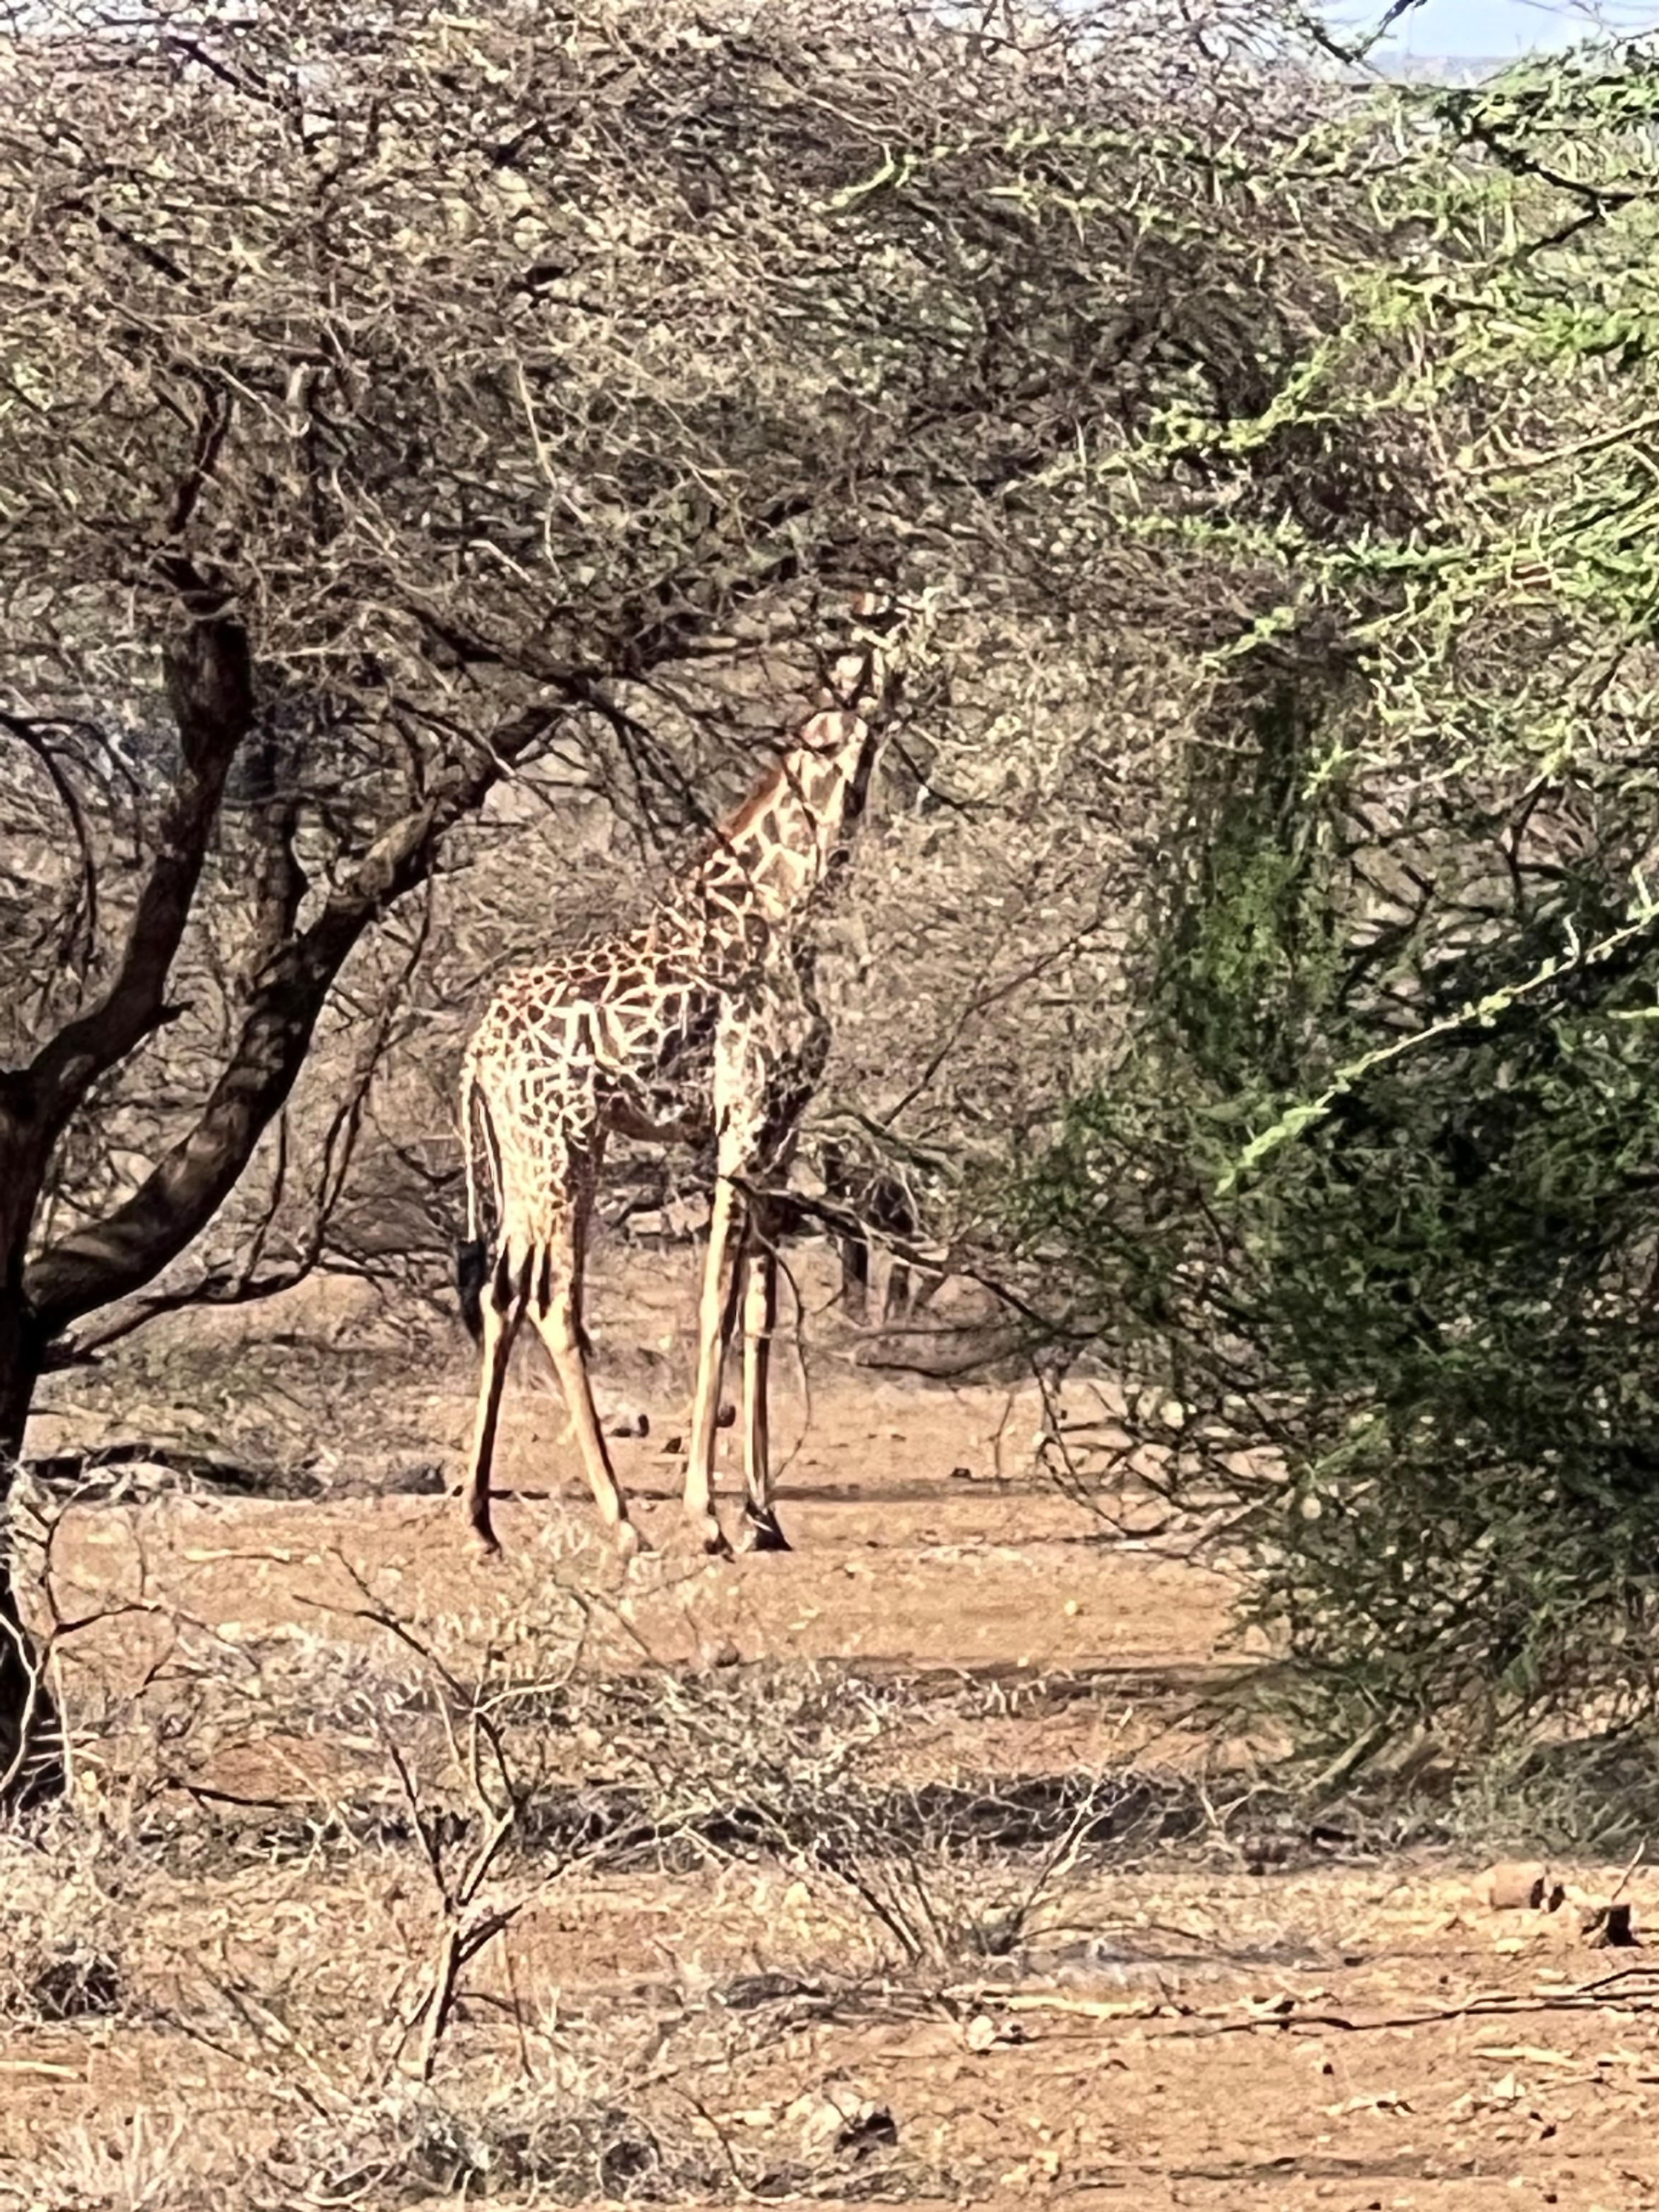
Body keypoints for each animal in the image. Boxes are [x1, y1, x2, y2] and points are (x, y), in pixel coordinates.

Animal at [455, 588, 924, 1557]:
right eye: (892, 622)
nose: (923, 659)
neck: (787, 907)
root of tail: (476, 1054)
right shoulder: (744, 1120)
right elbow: (714, 1301)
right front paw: (709, 1512)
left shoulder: (780, 1130)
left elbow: (761, 1311)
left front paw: (765, 1515)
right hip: (566, 1147)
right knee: (555, 1300)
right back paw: (622, 1517)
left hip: (526, 1156)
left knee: (500, 1290)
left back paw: (480, 1521)